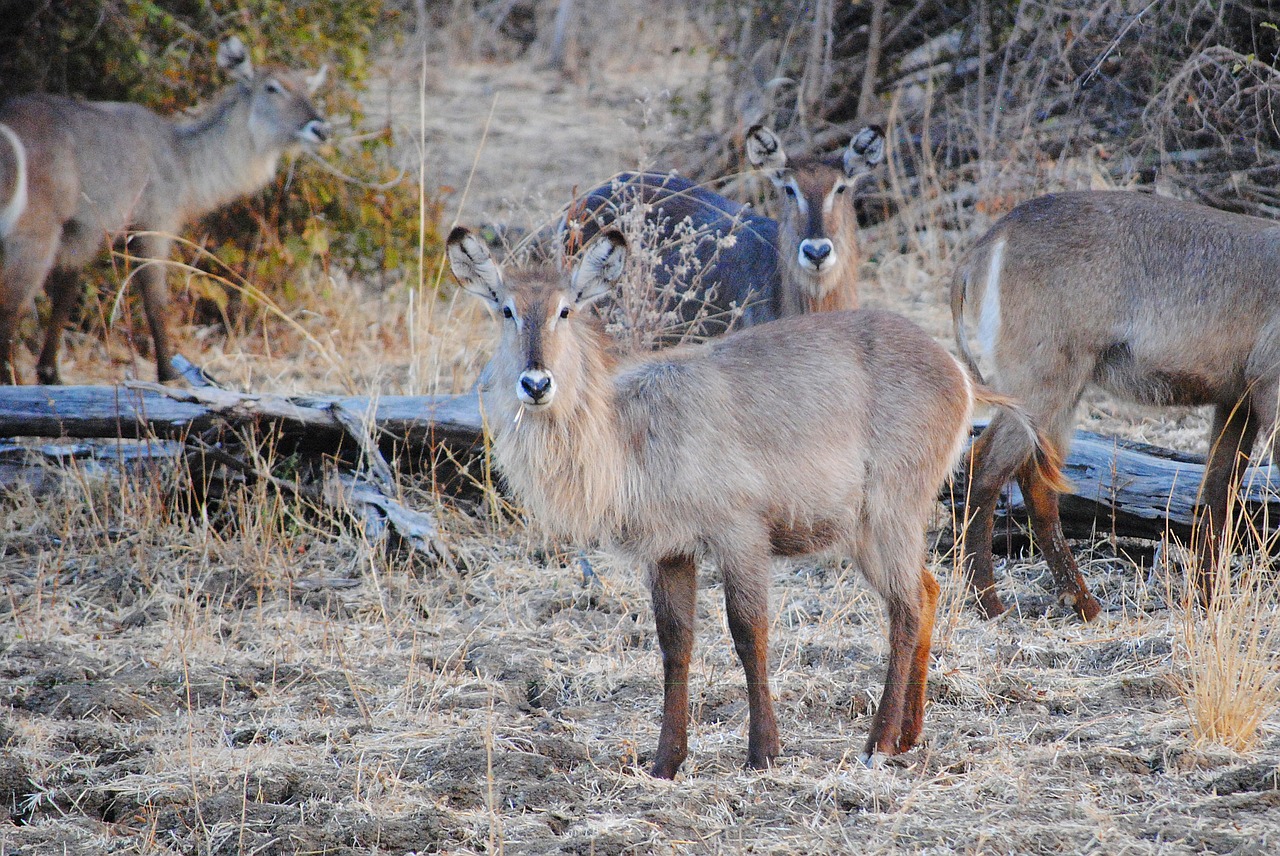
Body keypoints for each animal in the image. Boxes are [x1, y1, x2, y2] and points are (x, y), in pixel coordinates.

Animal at [1, 35, 330, 383]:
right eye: (272, 87)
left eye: (307, 89)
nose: (322, 129)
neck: (181, 157)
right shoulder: (152, 222)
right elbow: (155, 298)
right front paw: (169, 373)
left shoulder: (82, 232)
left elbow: (65, 295)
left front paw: (50, 373)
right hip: (34, 232)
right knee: (9, 306)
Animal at [445, 222, 1064, 772]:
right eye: (505, 309)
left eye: (565, 310)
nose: (536, 383)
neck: (627, 434)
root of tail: (958, 372)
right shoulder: (668, 551)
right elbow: (675, 645)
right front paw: (665, 761)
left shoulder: (740, 534)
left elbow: (749, 633)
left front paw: (763, 751)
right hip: (868, 529)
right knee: (928, 591)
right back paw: (910, 735)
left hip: (890, 509)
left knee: (906, 609)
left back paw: (880, 743)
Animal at [957, 186, 1280, 616]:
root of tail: (992, 238)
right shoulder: (1270, 394)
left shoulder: (1236, 402)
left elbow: (1217, 495)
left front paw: (1207, 602)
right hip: (1043, 384)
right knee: (986, 465)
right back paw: (992, 603)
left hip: (1061, 392)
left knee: (1034, 478)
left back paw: (1082, 603)